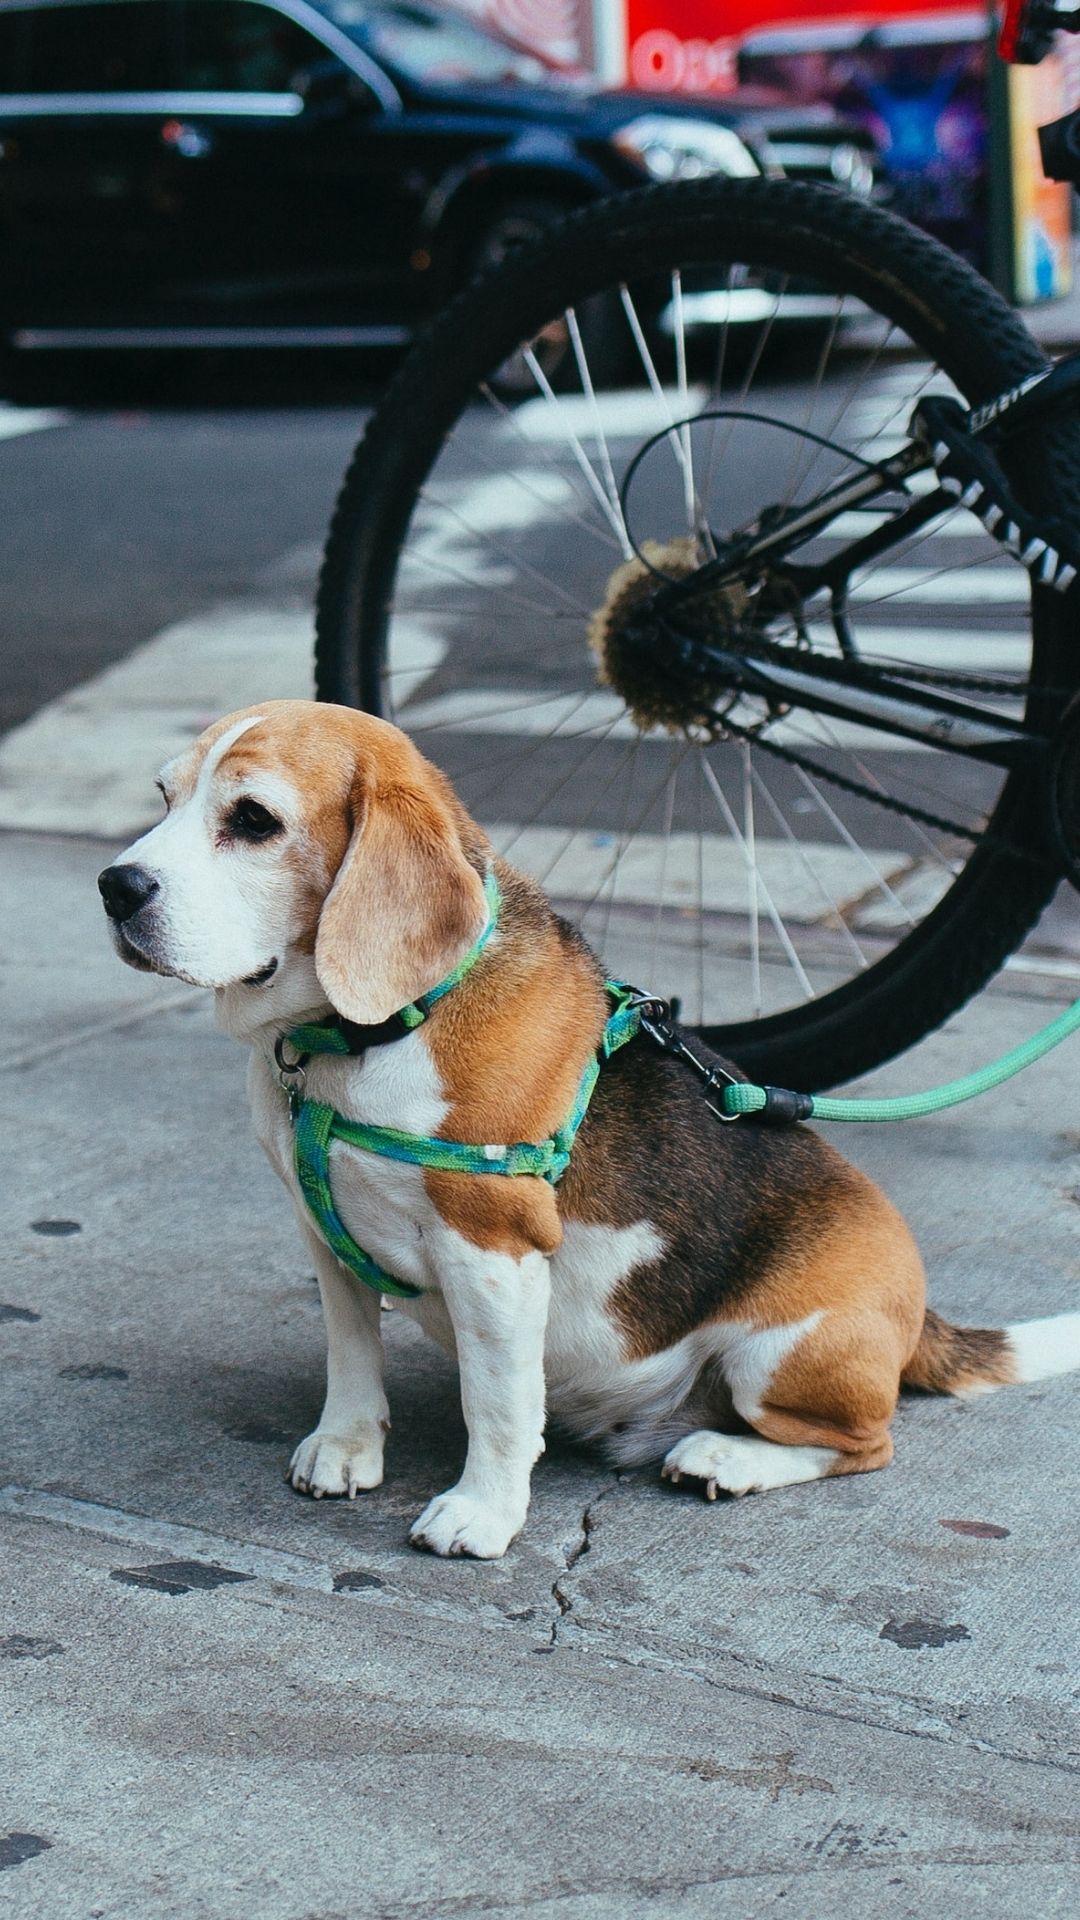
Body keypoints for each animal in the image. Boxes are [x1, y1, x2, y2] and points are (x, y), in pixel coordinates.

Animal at [100, 698, 1076, 1551]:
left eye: (254, 819)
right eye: (163, 795)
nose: (114, 886)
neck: (366, 1036)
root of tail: (920, 1313)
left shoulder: (491, 1251)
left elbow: (496, 1405)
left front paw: (482, 1514)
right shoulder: (322, 1229)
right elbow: (351, 1351)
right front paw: (348, 1445)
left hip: (782, 1356)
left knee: (865, 1444)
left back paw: (727, 1458)